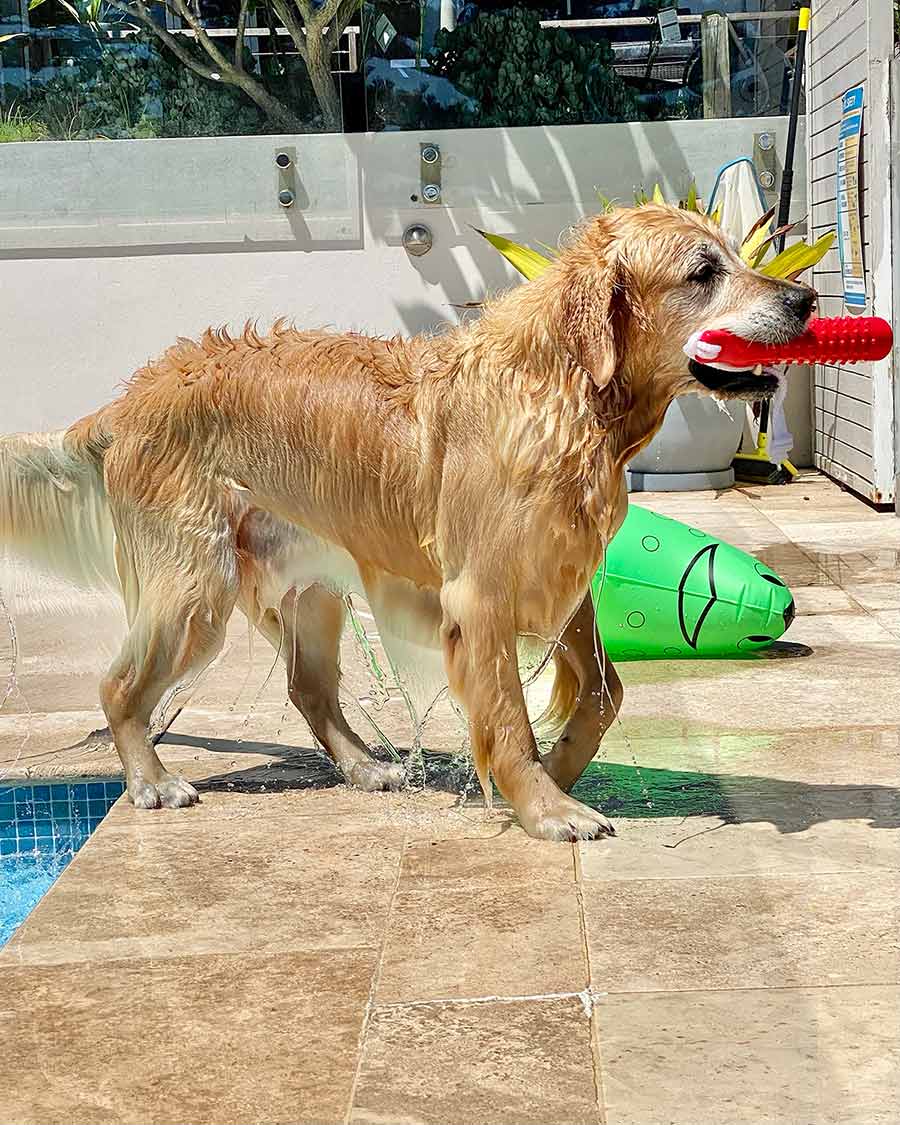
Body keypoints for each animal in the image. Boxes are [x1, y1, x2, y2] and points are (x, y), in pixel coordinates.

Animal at [1, 204, 814, 837]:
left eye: (737, 256)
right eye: (703, 272)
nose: (806, 298)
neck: (565, 390)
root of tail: (131, 396)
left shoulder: (559, 570)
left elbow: (605, 692)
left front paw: (559, 770)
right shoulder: (481, 593)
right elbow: (509, 719)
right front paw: (547, 808)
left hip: (309, 589)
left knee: (308, 689)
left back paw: (366, 767)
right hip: (195, 589)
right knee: (118, 685)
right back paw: (151, 780)